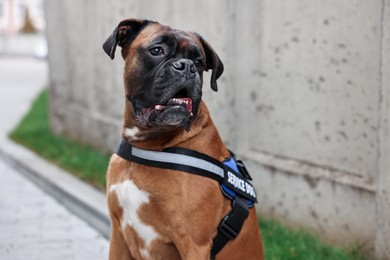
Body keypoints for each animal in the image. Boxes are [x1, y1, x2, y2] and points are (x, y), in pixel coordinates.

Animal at [103, 18, 266, 260]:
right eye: (157, 50)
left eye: (199, 62)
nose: (187, 66)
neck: (147, 145)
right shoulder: (118, 236)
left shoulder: (195, 245)